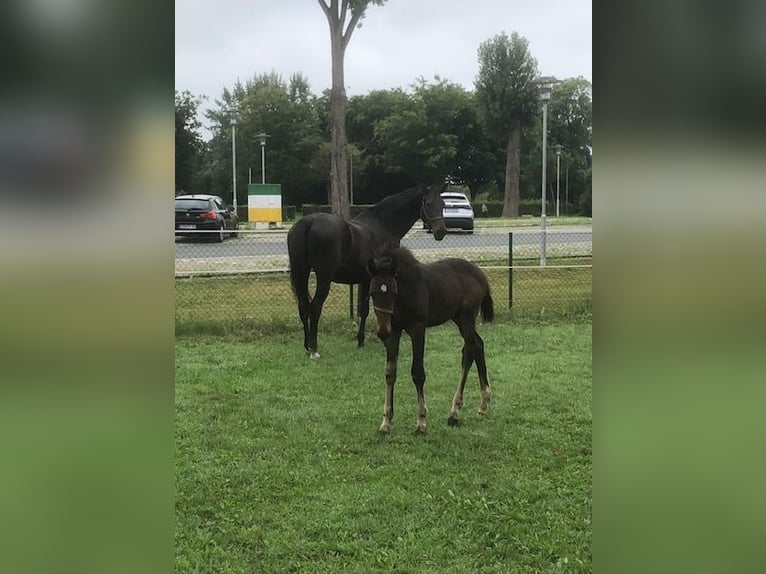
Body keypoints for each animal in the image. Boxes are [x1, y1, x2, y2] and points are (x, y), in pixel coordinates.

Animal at [287, 185, 448, 359]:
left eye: (443, 204)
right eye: (428, 203)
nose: (441, 232)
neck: (383, 226)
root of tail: (308, 221)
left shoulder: (365, 280)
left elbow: (363, 310)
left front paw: (361, 341)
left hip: (301, 272)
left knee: (303, 306)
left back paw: (307, 346)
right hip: (323, 277)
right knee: (315, 307)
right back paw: (314, 349)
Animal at [367, 246, 494, 434]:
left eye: (393, 292)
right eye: (372, 293)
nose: (382, 332)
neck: (406, 289)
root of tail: (481, 274)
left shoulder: (418, 329)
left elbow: (418, 373)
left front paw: (421, 423)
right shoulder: (394, 331)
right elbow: (390, 373)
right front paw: (386, 423)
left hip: (467, 317)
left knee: (468, 351)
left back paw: (454, 413)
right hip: (457, 317)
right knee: (478, 345)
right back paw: (484, 404)